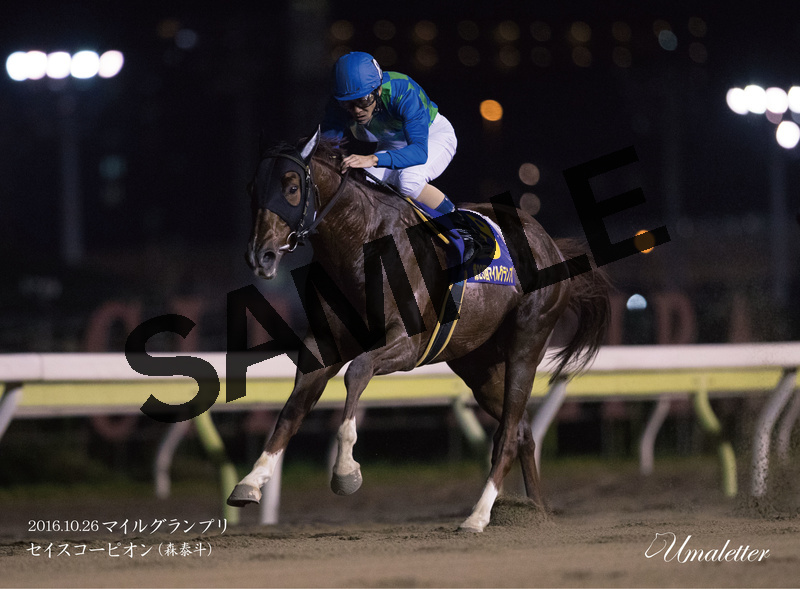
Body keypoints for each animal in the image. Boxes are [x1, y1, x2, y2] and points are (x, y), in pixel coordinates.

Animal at [227, 128, 611, 532]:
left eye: (291, 187)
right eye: (253, 188)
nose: (260, 256)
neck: (360, 242)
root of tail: (551, 244)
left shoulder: (408, 344)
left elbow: (357, 372)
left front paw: (346, 471)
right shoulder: (323, 345)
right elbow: (293, 407)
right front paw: (250, 481)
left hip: (527, 343)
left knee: (509, 433)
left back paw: (478, 515)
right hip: (479, 365)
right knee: (522, 429)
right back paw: (536, 512)